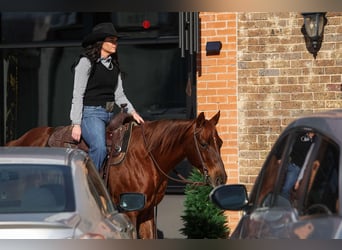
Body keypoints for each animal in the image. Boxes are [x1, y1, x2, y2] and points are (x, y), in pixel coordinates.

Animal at [5, 111, 227, 238]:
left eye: (220, 142)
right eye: (203, 144)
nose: (221, 177)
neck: (147, 157)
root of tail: (17, 141)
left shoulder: (147, 212)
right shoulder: (129, 211)